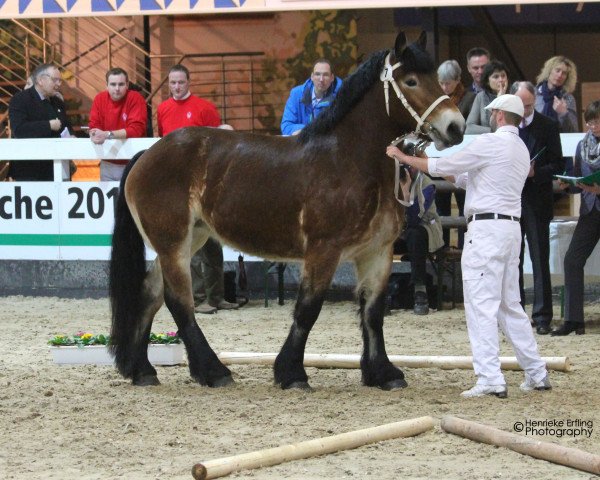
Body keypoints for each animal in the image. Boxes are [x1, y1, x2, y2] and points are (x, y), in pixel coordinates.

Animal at [109, 31, 464, 390]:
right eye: (411, 80)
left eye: (437, 77)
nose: (455, 127)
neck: (349, 159)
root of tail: (147, 153)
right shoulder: (323, 251)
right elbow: (308, 309)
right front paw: (292, 372)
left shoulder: (377, 252)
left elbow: (373, 312)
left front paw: (382, 373)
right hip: (174, 245)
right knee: (179, 303)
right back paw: (213, 371)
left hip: (189, 239)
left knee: (150, 293)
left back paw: (143, 370)